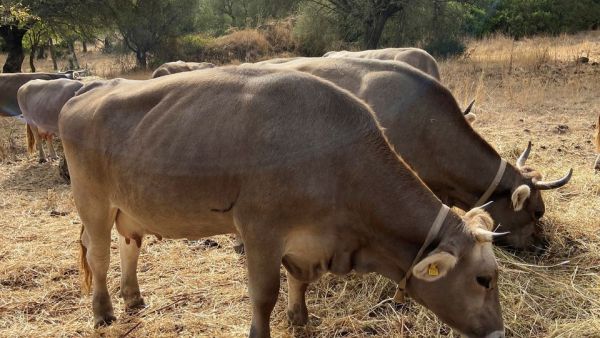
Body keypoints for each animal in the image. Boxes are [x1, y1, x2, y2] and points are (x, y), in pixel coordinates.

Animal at [21, 67, 504, 336]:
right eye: (483, 280)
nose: (498, 334)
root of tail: (86, 91)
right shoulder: (260, 231)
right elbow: (263, 294)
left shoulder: (307, 239)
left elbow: (298, 282)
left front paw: (300, 317)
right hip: (93, 202)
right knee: (98, 256)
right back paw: (103, 312)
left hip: (129, 206)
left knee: (128, 247)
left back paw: (134, 297)